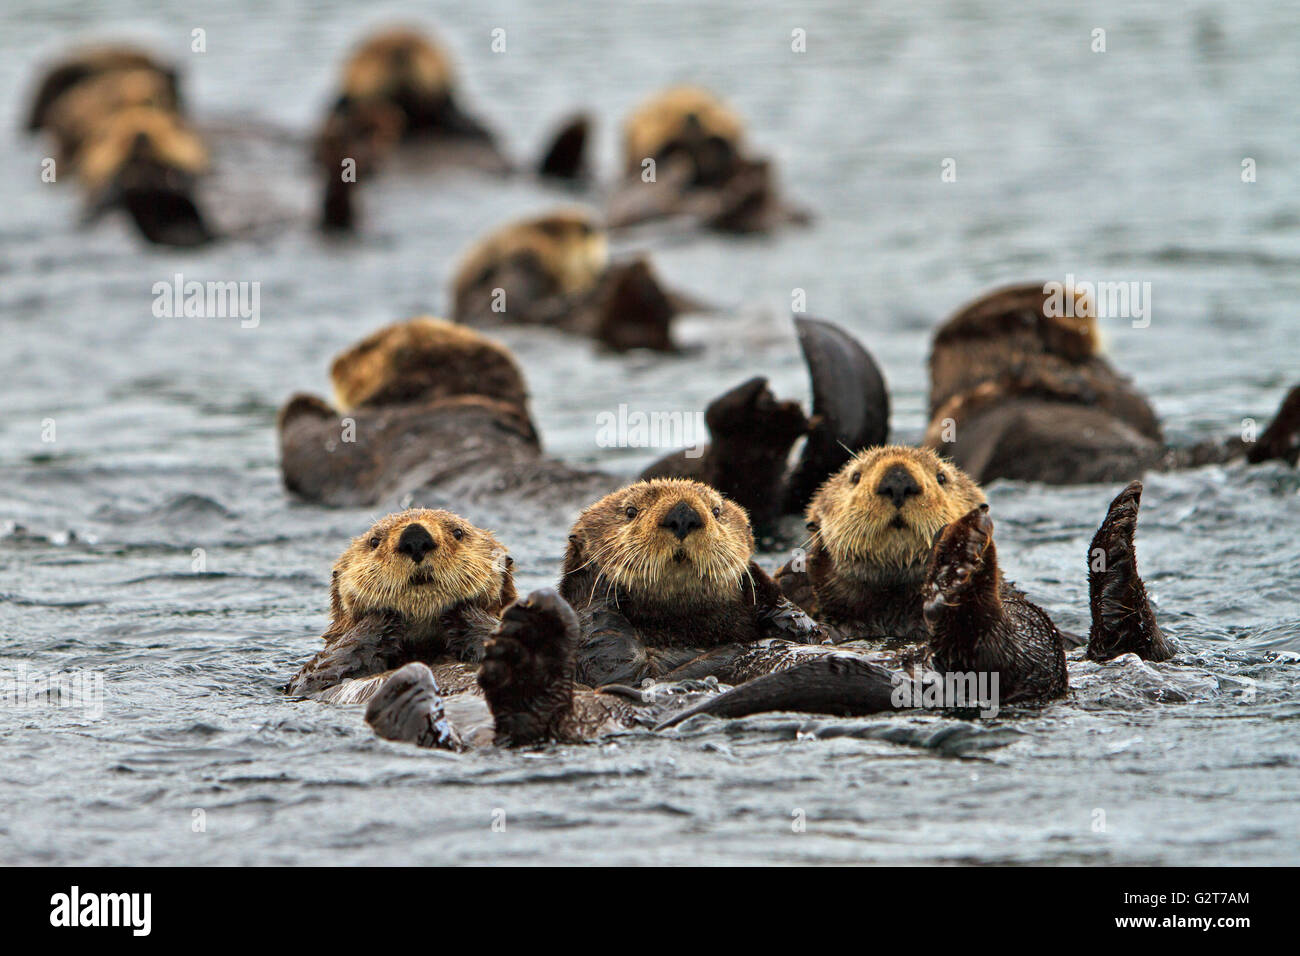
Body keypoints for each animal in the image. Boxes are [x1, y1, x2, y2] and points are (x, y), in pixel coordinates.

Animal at [286, 508, 515, 703]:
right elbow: (315, 674)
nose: (415, 536)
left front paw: (463, 609)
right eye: (374, 541)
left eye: (458, 533)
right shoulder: (310, 685)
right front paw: (383, 615)